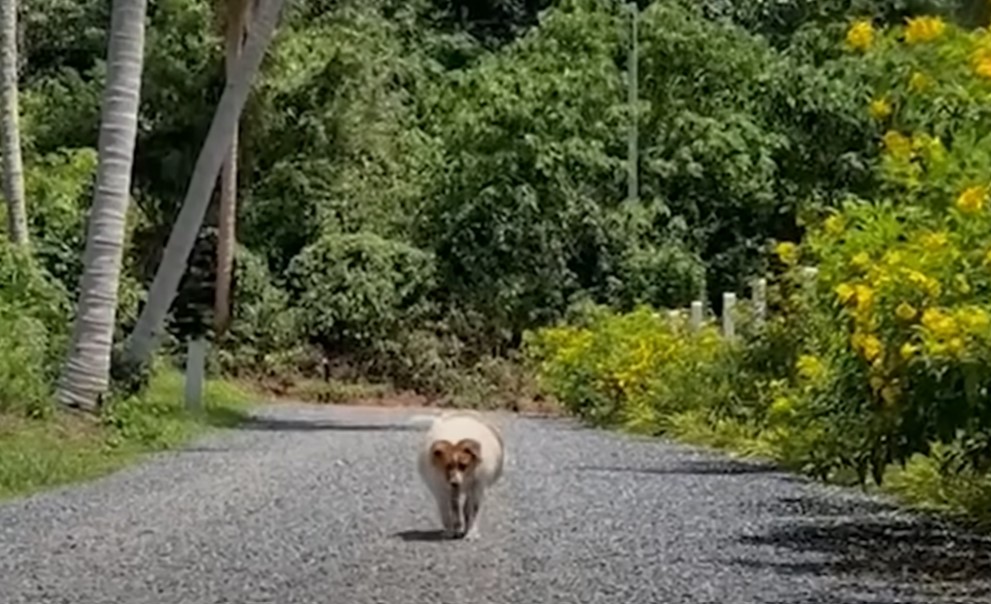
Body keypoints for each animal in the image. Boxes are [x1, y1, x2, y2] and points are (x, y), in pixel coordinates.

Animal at [410, 408, 504, 540]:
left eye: (463, 465)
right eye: (447, 466)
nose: (454, 482)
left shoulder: (478, 486)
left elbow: (473, 510)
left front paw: (471, 533)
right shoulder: (442, 489)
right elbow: (448, 511)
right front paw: (452, 530)